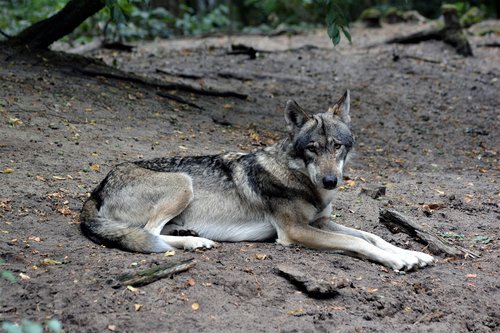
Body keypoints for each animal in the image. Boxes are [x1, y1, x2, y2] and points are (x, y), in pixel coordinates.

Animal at [81, 90, 434, 270]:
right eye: (312, 148)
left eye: (337, 146)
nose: (331, 181)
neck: (297, 175)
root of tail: (97, 187)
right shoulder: (295, 231)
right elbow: (358, 242)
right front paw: (397, 260)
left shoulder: (319, 222)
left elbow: (371, 236)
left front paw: (412, 254)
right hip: (183, 183)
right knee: (150, 234)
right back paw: (195, 242)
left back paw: (190, 234)